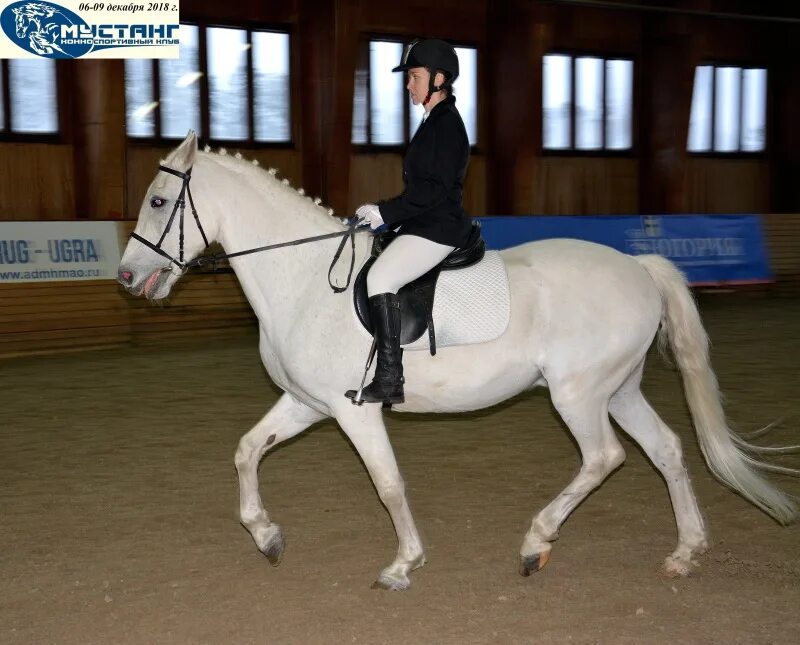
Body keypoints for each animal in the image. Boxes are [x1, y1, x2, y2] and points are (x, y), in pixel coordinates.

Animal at [117, 133, 792, 592]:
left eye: (159, 201)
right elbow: (247, 450)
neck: (305, 278)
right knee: (667, 451)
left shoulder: (352, 412)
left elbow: (388, 484)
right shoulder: (307, 404)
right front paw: (266, 536)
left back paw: (536, 541)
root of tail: (639, 266)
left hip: (577, 394)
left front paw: (402, 564)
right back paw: (685, 552)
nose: (125, 276)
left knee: (605, 457)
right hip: (618, 389)